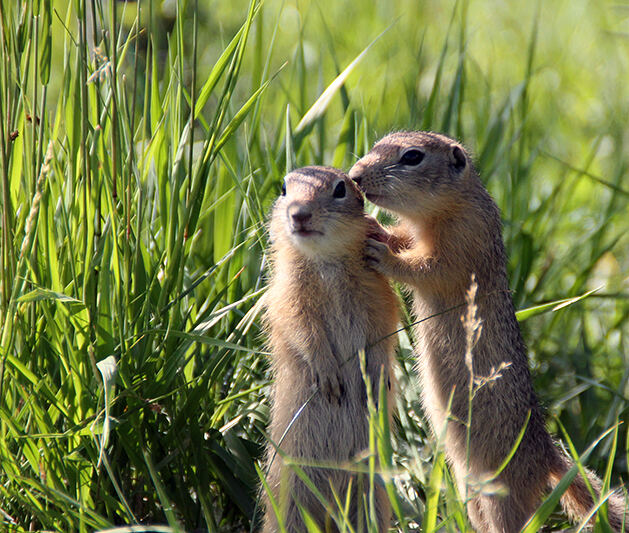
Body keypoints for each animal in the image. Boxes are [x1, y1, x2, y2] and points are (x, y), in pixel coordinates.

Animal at [260, 166, 398, 532]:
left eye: (340, 190)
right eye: (283, 189)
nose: (299, 214)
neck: (327, 264)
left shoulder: (380, 296)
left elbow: (383, 334)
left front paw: (376, 379)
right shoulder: (288, 297)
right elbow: (303, 332)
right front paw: (329, 377)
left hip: (370, 492)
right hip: (288, 494)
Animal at [348, 132, 628, 532]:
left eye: (412, 157)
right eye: (377, 143)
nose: (354, 176)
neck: (448, 208)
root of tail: (546, 452)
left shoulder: (462, 243)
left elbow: (427, 268)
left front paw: (380, 252)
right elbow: (404, 241)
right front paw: (376, 228)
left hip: (501, 493)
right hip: (472, 490)